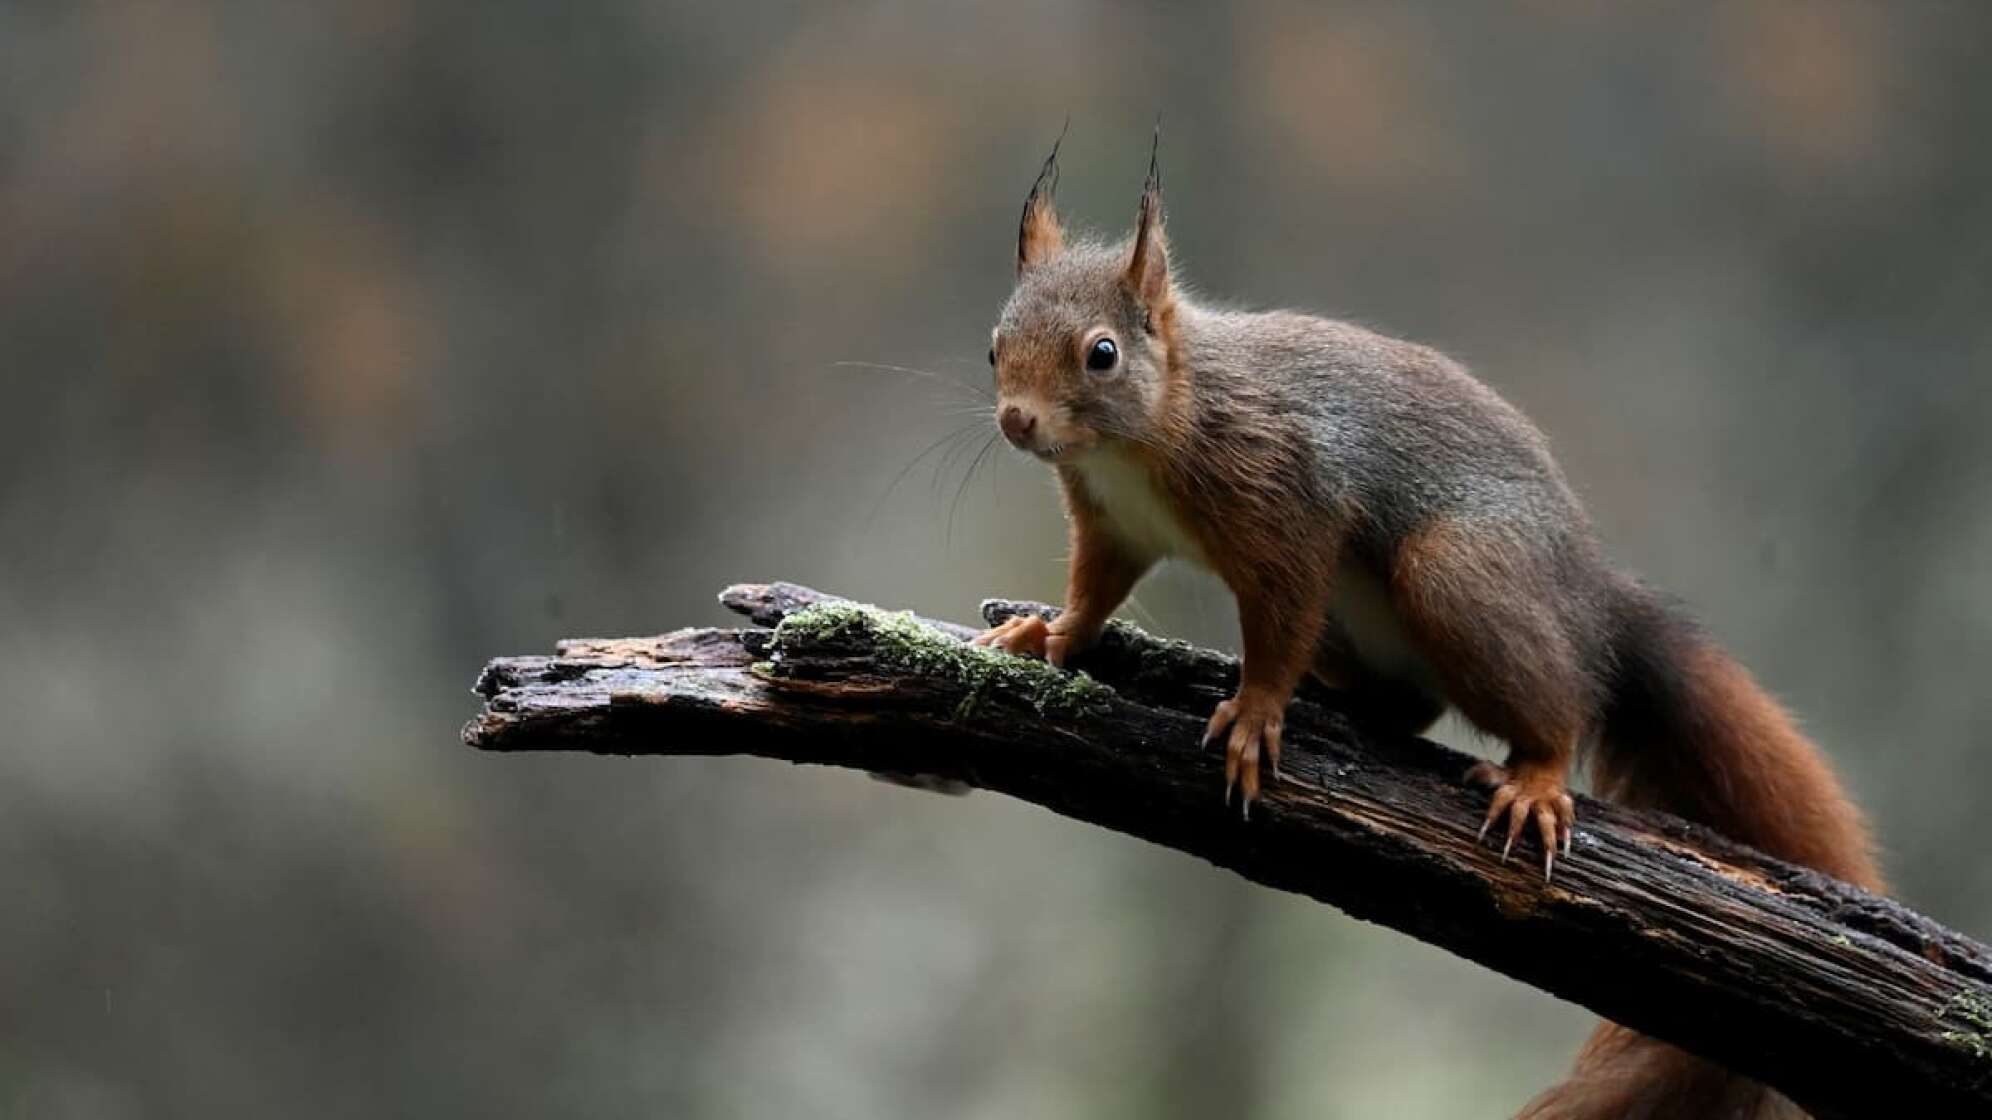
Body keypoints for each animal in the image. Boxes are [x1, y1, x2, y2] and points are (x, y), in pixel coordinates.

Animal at [972, 132, 1872, 1116]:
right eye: (994, 346)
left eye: (1101, 354)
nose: (1017, 421)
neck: (1146, 431)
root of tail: (1591, 602)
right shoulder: (1113, 524)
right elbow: (1095, 592)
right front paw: (1046, 636)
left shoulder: (1287, 504)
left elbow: (1277, 620)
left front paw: (1256, 713)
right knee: (1409, 706)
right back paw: (1344, 701)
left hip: (1458, 578)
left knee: (1558, 703)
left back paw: (1535, 776)